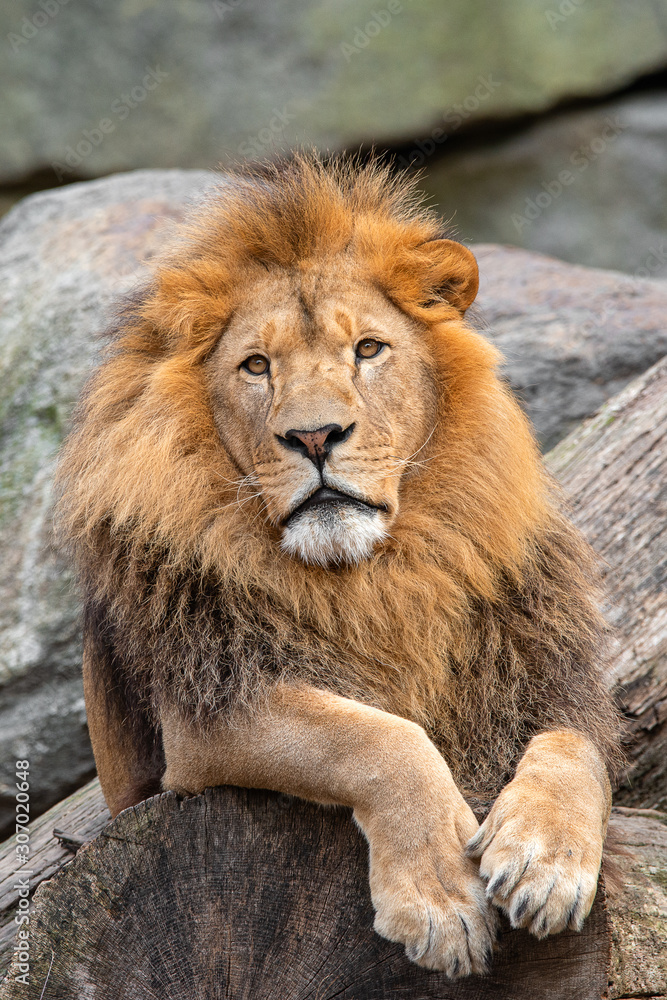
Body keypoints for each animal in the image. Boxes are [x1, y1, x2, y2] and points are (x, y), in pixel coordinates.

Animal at [55, 154, 622, 979]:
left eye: (368, 350)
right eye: (256, 366)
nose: (315, 436)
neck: (375, 577)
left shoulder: (545, 671)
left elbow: (576, 751)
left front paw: (545, 863)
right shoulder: (207, 709)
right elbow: (379, 738)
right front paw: (440, 899)